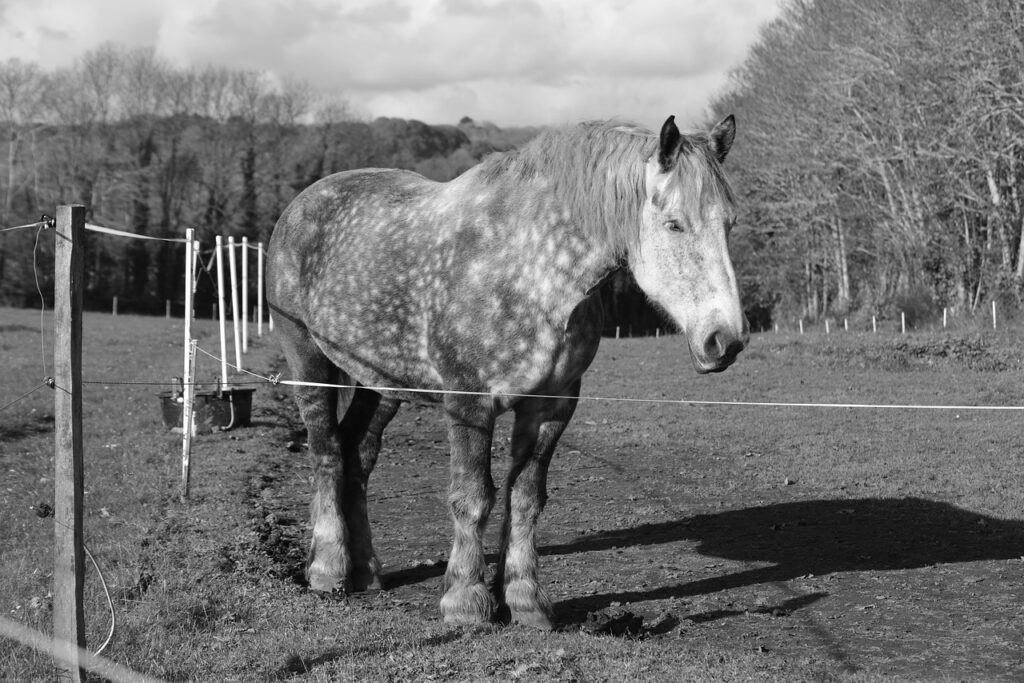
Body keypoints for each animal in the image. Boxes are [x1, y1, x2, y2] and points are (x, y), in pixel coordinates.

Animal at [266, 114, 747, 629]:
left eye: (729, 224)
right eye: (674, 224)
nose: (725, 341)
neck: (531, 269)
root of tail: (302, 203)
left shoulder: (552, 406)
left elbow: (526, 498)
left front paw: (524, 600)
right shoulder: (468, 403)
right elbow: (473, 496)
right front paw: (466, 601)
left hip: (380, 383)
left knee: (358, 455)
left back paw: (367, 572)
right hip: (307, 361)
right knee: (327, 453)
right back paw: (328, 569)